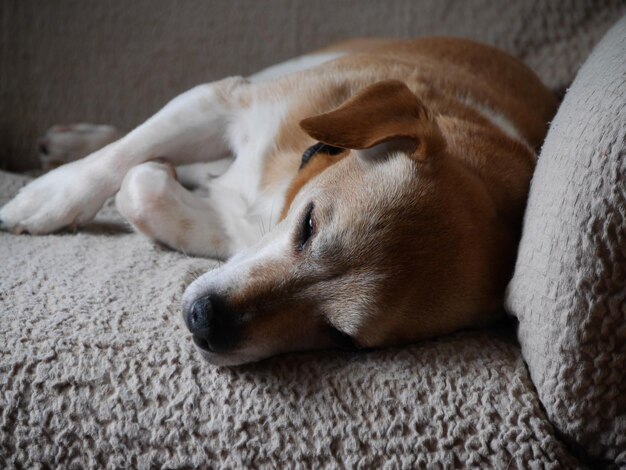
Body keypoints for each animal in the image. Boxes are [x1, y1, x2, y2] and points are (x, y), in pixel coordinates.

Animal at [0, 38, 556, 366]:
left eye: (341, 338)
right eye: (308, 225)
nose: (205, 323)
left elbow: (145, 186)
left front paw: (167, 182)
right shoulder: (223, 102)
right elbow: (122, 158)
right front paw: (46, 199)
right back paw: (71, 145)